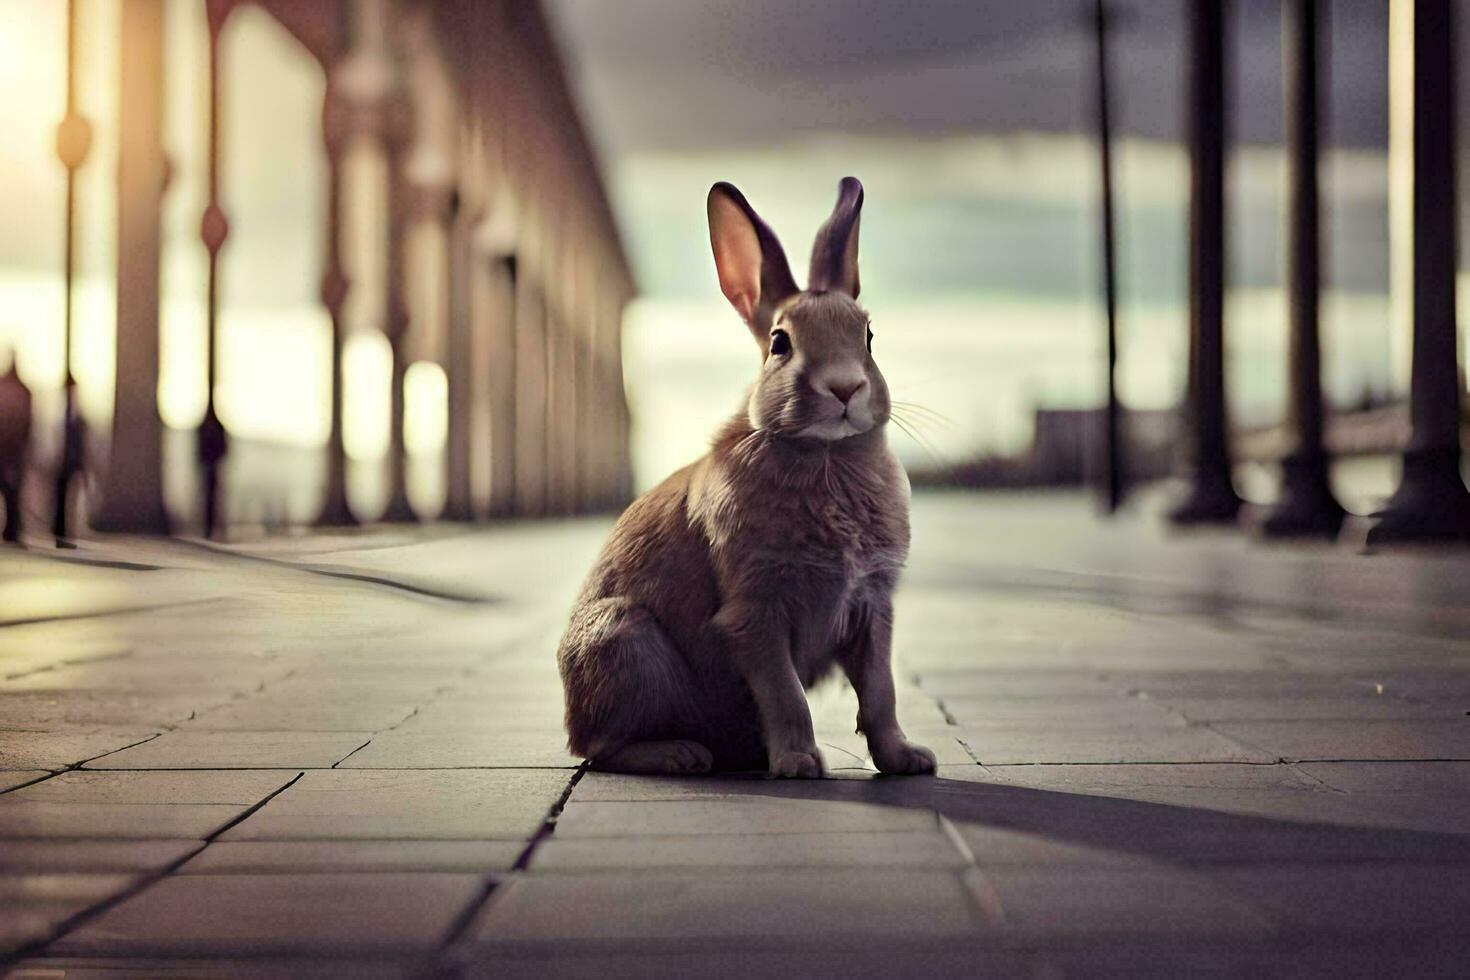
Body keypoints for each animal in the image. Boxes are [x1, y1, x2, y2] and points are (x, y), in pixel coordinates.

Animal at [555, 174, 934, 775]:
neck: (825, 456)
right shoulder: (755, 614)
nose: (846, 388)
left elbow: (881, 692)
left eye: (869, 337)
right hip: (624, 642)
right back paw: (680, 755)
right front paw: (800, 764)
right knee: (600, 748)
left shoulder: (873, 611)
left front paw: (907, 759)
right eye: (780, 343)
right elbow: (786, 694)